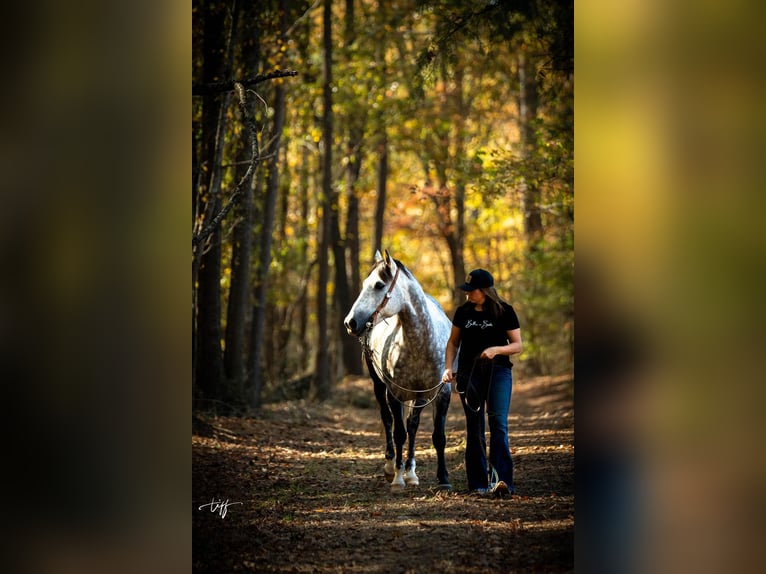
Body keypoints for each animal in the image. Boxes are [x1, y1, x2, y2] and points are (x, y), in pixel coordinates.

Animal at [344, 251, 452, 490]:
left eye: (378, 285)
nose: (350, 322)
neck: (421, 343)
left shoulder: (442, 393)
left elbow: (437, 436)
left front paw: (443, 479)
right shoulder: (394, 394)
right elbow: (398, 432)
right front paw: (397, 477)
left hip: (418, 396)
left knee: (413, 425)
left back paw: (411, 472)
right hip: (379, 386)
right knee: (388, 420)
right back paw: (391, 465)